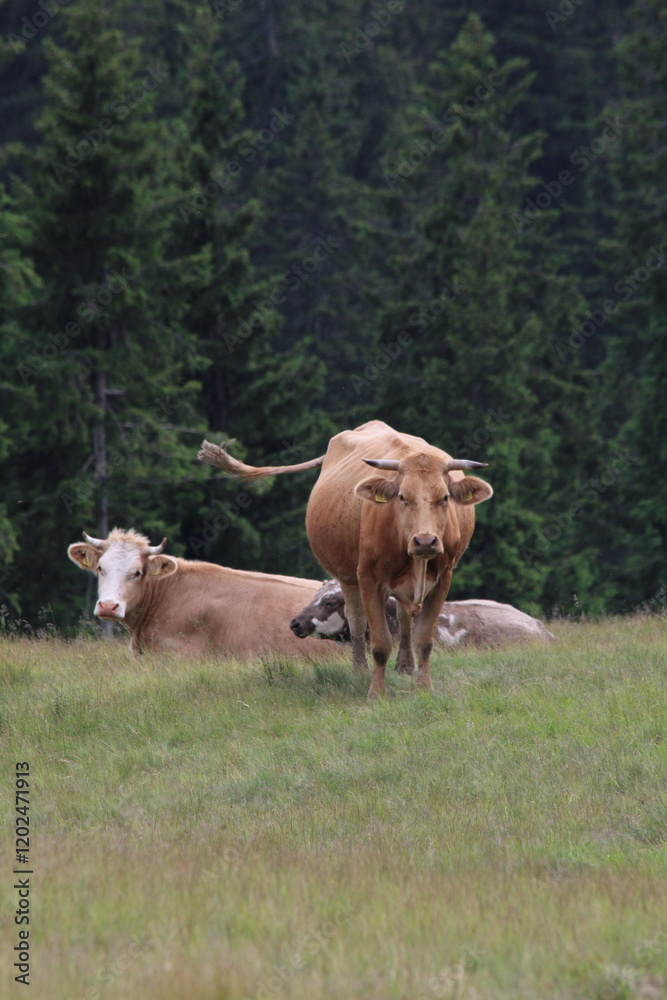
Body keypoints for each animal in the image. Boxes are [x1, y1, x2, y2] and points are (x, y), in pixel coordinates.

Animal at [198, 420, 493, 697]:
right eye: (401, 497)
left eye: (444, 497)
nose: (425, 541)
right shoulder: (369, 579)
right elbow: (380, 643)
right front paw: (376, 692)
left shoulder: (443, 579)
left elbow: (424, 640)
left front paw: (423, 687)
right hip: (348, 577)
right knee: (356, 620)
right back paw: (359, 670)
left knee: (404, 618)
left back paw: (405, 666)